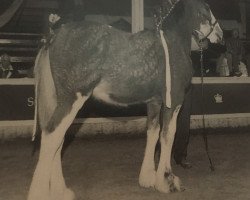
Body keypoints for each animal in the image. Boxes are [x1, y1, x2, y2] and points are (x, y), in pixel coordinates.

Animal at [27, 0, 223, 199]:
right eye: (206, 8)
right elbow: (168, 135)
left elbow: (153, 133)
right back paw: (41, 192)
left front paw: (148, 178)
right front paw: (167, 181)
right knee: (52, 135)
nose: (220, 35)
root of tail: (53, 37)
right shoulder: (173, 102)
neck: (171, 43)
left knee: (58, 140)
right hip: (72, 99)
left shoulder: (154, 102)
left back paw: (60, 191)